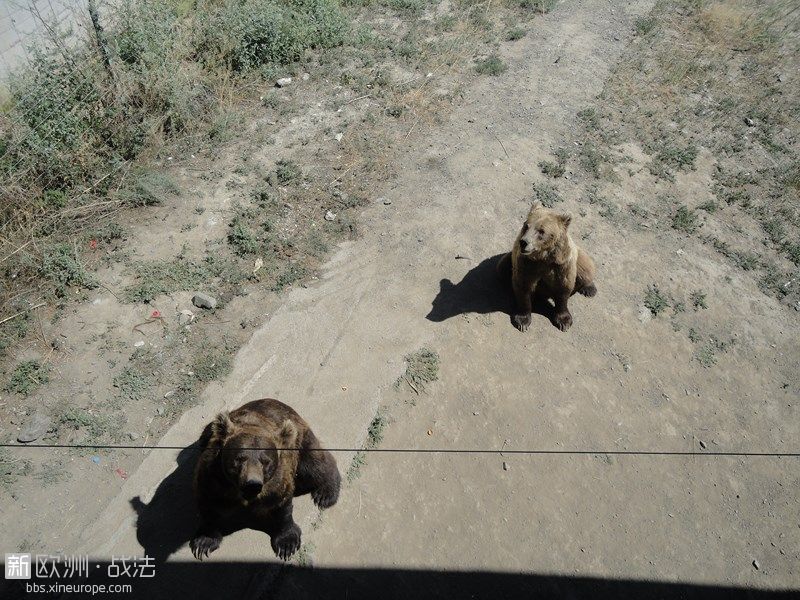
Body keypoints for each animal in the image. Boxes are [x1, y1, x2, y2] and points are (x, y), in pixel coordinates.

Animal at [191, 400, 340, 560]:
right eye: (239, 459)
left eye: (266, 461)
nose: (252, 484)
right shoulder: (213, 477)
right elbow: (208, 505)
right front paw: (204, 542)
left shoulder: (278, 480)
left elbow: (282, 506)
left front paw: (287, 544)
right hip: (206, 433)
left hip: (300, 440)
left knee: (314, 464)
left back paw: (325, 494)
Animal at [496, 202, 596, 332]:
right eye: (526, 225)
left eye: (541, 231)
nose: (524, 242)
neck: (544, 257)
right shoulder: (527, 264)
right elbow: (523, 286)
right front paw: (522, 321)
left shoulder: (561, 265)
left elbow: (563, 288)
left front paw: (564, 321)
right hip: (508, 261)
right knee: (502, 269)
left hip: (578, 256)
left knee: (586, 268)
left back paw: (589, 289)